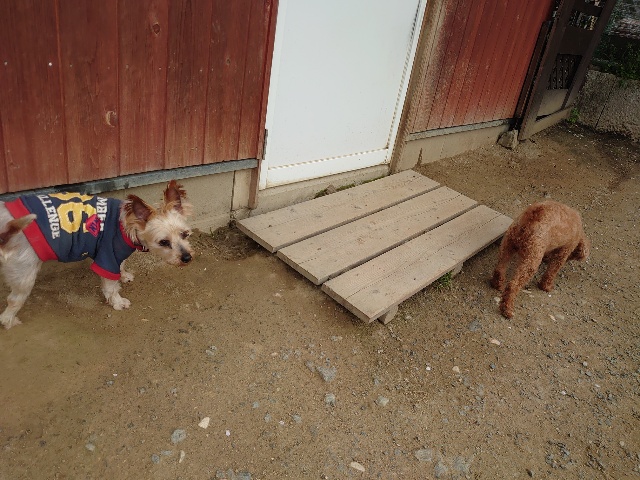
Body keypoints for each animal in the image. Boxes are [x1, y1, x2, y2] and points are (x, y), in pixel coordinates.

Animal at [0, 180, 193, 329]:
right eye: (163, 242)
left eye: (185, 234)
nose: (187, 258)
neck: (127, 224)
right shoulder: (107, 254)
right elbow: (110, 286)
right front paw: (118, 302)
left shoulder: (115, 252)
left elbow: (121, 265)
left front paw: (124, 275)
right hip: (24, 270)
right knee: (14, 300)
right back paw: (9, 321)